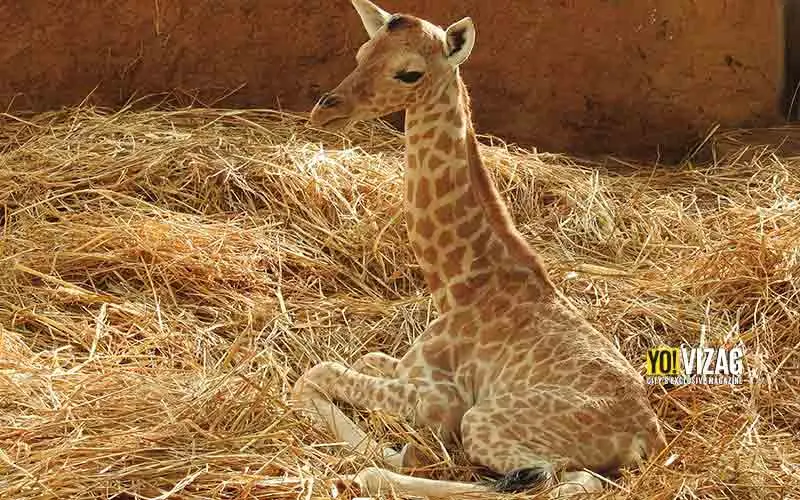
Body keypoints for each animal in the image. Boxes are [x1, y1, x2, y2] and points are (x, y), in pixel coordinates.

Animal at [292, 1, 668, 497]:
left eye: (409, 73)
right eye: (361, 53)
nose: (324, 111)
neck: (458, 282)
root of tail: (649, 435)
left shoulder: (442, 401)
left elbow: (317, 373)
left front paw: (393, 452)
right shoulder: (406, 368)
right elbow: (361, 358)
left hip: (484, 420)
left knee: (551, 482)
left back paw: (379, 471)